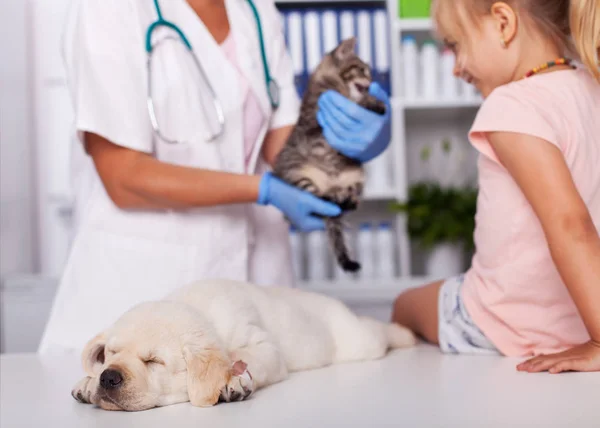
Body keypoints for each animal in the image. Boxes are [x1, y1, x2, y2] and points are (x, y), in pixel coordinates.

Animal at [72, 278, 414, 412]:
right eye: (111, 355)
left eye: (153, 361)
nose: (108, 378)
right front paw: (88, 382)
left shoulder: (265, 347)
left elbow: (250, 357)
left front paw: (236, 380)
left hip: (357, 341)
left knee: (376, 332)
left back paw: (403, 333)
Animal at [274, 36, 386, 270]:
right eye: (362, 70)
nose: (372, 81)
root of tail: (331, 184)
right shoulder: (316, 115)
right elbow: (356, 103)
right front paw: (371, 102)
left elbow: (358, 103)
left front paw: (376, 103)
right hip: (298, 175)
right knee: (318, 201)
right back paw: (333, 201)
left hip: (355, 177)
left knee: (342, 202)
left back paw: (346, 200)